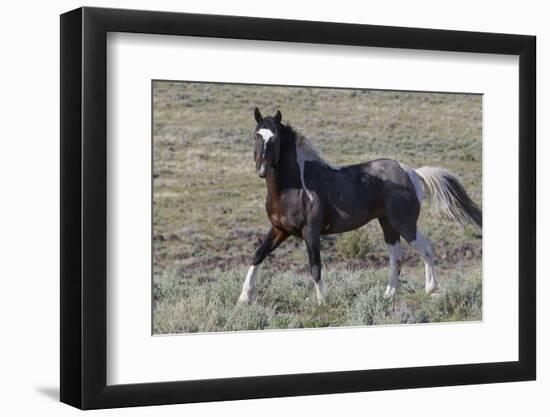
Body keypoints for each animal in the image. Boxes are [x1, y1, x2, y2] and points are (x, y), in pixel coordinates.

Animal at [238, 105, 484, 304]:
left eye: (275, 138)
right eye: (256, 136)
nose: (262, 170)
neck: (294, 187)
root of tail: (411, 172)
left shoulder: (311, 232)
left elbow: (315, 266)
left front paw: (322, 302)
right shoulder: (280, 229)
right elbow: (257, 255)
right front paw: (244, 298)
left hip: (404, 223)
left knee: (426, 249)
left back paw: (431, 289)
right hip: (388, 225)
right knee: (397, 258)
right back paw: (387, 296)